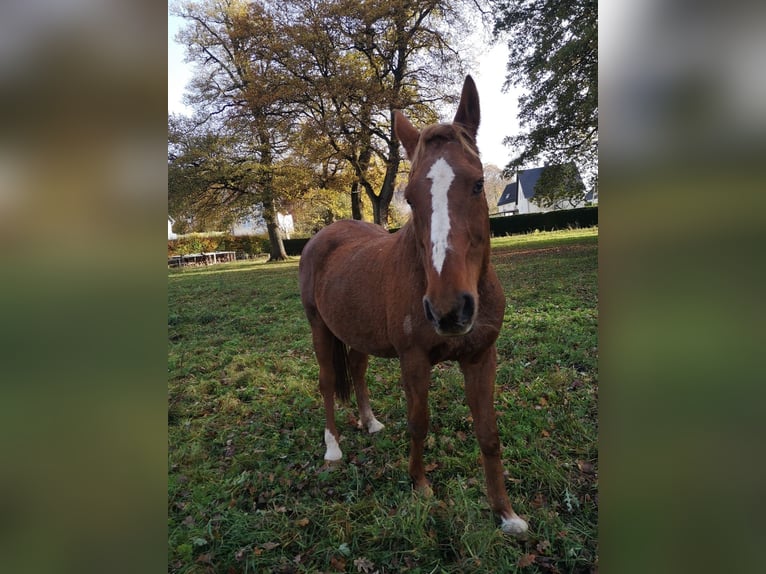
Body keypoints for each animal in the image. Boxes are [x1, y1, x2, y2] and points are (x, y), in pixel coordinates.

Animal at [298, 76, 528, 540]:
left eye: (478, 184)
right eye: (410, 195)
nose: (448, 310)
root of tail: (322, 236)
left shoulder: (481, 357)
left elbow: (488, 433)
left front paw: (505, 513)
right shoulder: (415, 360)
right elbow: (419, 422)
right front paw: (420, 485)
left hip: (357, 331)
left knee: (357, 370)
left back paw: (369, 422)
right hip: (320, 330)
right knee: (328, 383)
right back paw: (333, 448)